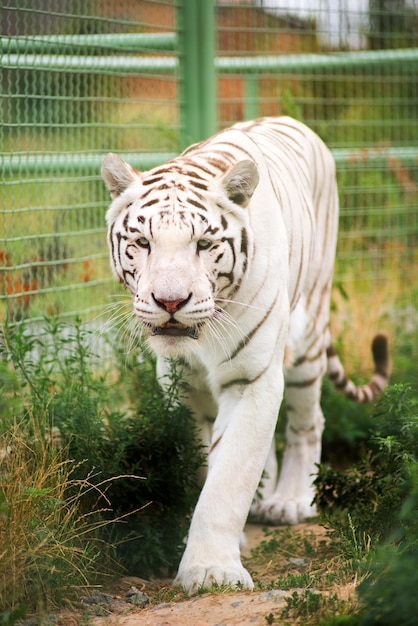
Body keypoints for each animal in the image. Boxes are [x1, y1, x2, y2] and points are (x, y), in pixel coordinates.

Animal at [100, 118, 388, 596]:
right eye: (142, 241)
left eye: (203, 243)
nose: (170, 301)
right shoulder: (179, 386)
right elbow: (203, 464)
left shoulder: (253, 378)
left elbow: (229, 476)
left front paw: (212, 569)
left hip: (307, 335)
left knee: (308, 421)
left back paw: (289, 501)